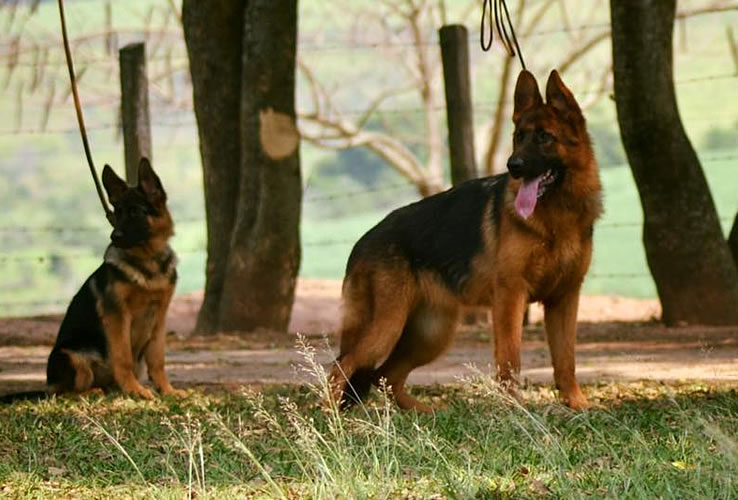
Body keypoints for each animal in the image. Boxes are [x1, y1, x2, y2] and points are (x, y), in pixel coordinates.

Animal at [1, 158, 183, 402]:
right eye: (117, 213)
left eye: (135, 212)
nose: (114, 236)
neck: (147, 261)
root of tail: (49, 384)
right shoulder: (117, 316)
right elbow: (123, 356)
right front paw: (135, 390)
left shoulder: (159, 317)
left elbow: (158, 359)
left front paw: (167, 390)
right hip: (71, 356)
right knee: (63, 392)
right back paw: (91, 392)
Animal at [329, 70, 602, 412]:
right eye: (518, 137)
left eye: (544, 137)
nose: (513, 166)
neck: (557, 217)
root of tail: (362, 241)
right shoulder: (511, 295)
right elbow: (510, 358)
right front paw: (513, 406)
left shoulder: (564, 298)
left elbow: (566, 359)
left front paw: (577, 404)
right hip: (387, 326)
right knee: (341, 366)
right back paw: (330, 417)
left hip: (431, 335)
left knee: (385, 376)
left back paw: (424, 411)